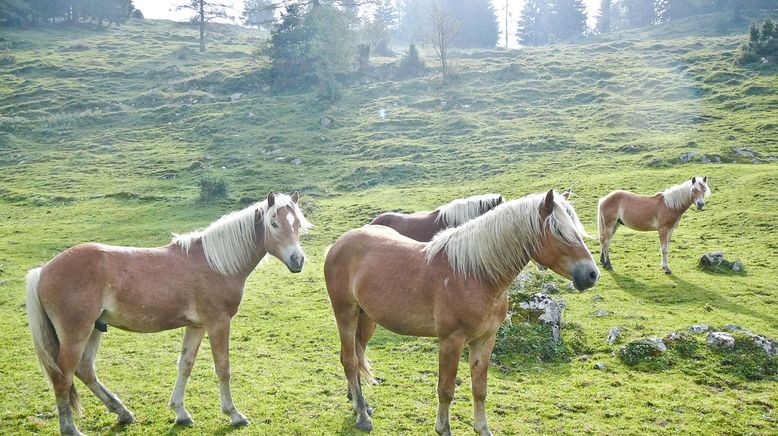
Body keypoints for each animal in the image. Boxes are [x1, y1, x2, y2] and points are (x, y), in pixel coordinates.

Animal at [27, 192, 312, 436]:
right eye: (274, 224)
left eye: (297, 224)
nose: (297, 260)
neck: (215, 263)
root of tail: (42, 270)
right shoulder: (218, 323)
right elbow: (223, 367)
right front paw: (234, 414)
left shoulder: (196, 326)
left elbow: (185, 365)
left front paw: (181, 413)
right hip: (77, 332)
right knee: (62, 376)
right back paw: (71, 429)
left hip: (95, 329)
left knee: (85, 370)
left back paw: (123, 413)